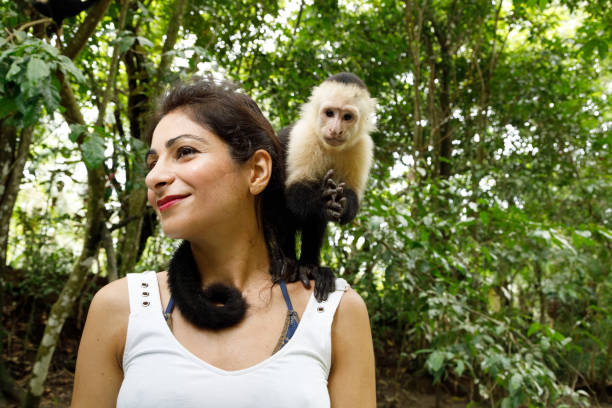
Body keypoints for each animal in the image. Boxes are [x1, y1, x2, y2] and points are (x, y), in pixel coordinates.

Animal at [278, 72, 376, 300]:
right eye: (329, 113)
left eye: (347, 117)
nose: (335, 130)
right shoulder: (304, 136)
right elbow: (293, 194)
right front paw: (322, 201)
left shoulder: (362, 147)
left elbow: (351, 194)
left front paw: (345, 205)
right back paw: (289, 263)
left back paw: (309, 267)